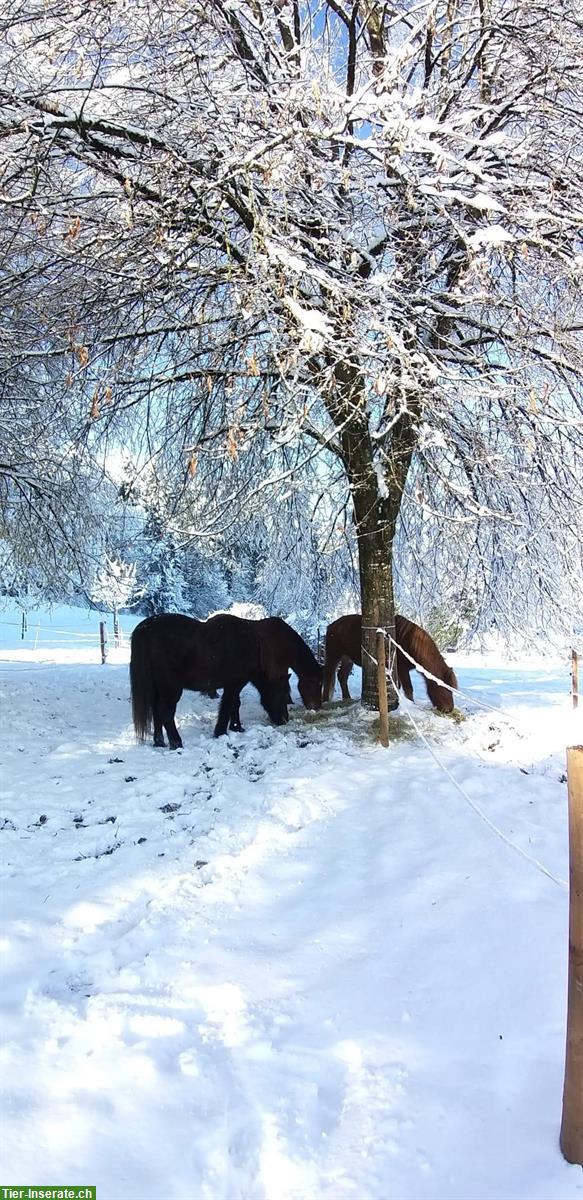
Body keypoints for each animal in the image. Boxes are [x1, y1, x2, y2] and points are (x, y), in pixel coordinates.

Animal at [128, 614, 290, 744]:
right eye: (283, 694)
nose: (285, 720)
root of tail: (145, 628)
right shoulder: (234, 685)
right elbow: (228, 706)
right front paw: (221, 732)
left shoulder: (233, 685)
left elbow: (235, 705)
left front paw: (236, 728)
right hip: (171, 689)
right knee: (165, 711)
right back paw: (176, 743)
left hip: (157, 688)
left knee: (156, 710)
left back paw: (159, 742)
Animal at [323, 619, 455, 710]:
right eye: (445, 688)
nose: (449, 709)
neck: (408, 643)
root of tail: (330, 626)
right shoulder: (402, 669)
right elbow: (408, 689)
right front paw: (411, 704)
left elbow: (398, 686)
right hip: (334, 657)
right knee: (328, 674)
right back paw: (325, 700)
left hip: (347, 659)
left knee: (342, 676)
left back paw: (347, 698)